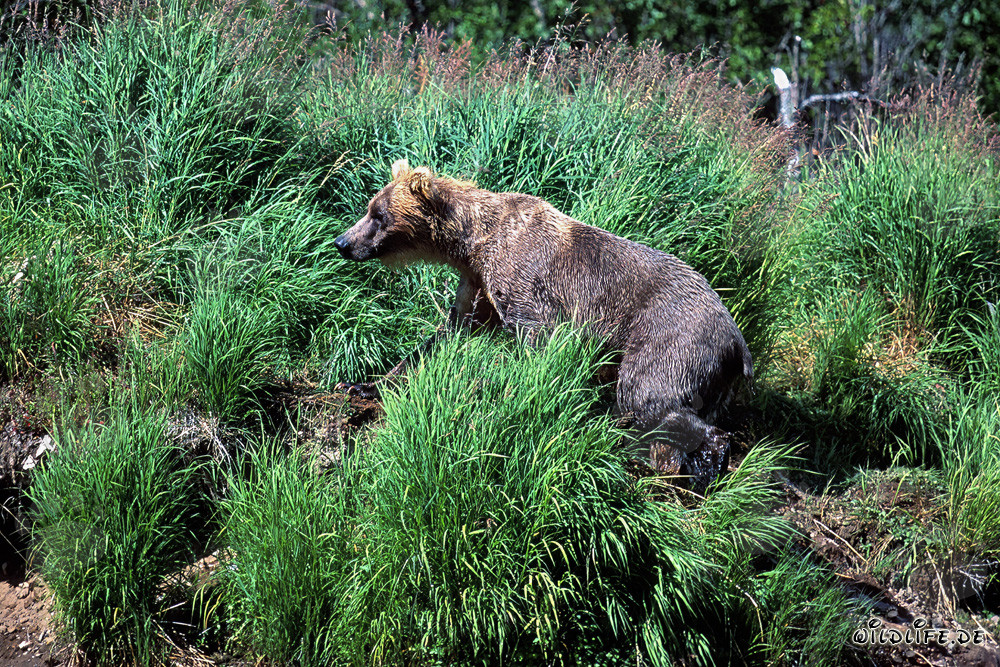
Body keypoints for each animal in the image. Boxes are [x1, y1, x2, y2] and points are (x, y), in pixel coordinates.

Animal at [334, 160, 753, 493]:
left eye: (378, 214)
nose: (342, 242)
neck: (473, 242)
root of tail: (737, 340)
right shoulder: (477, 284)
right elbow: (447, 334)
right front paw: (363, 384)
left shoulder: (520, 276)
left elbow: (540, 339)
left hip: (671, 337)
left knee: (648, 397)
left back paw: (699, 467)